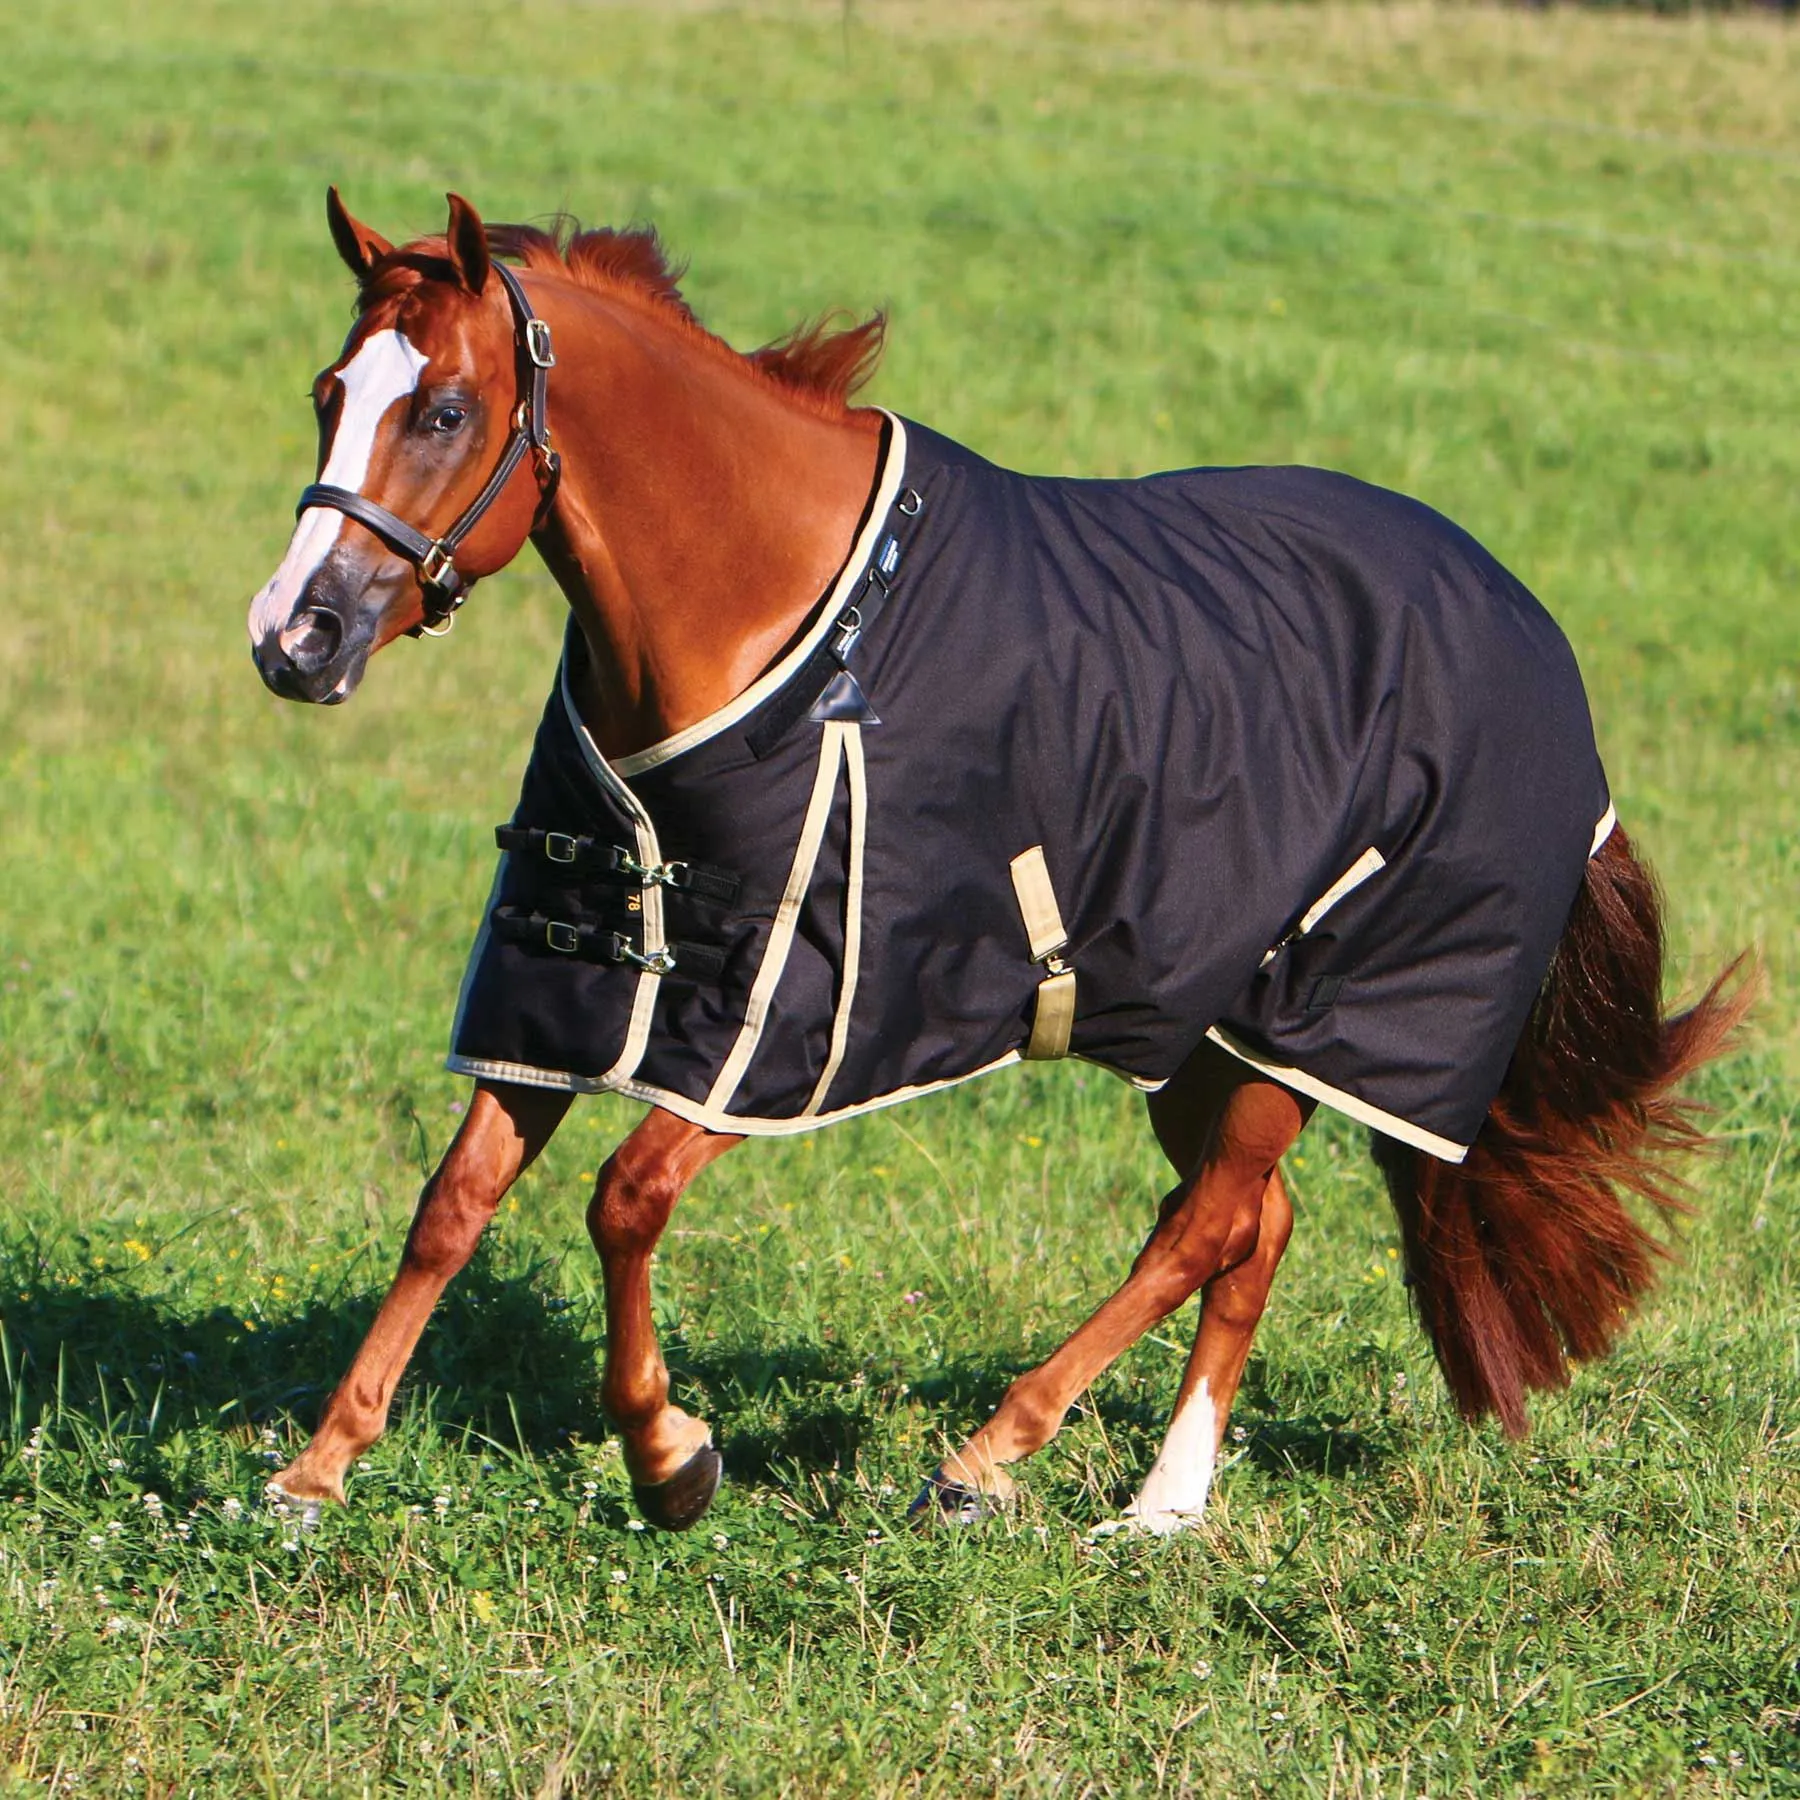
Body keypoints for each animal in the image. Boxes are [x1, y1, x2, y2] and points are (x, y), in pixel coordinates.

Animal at [246, 191, 1748, 1535]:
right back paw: (1165, 1506)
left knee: (1208, 1226)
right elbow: (453, 1205)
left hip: (1313, 1013)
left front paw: (671, 1457)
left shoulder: (801, 1016)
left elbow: (627, 1201)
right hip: (1190, 1028)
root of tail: (1533, 633)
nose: (293, 637)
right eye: (327, 393)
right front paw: (315, 1474)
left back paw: (990, 1458)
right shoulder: (568, 970)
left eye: (444, 411)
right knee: (1250, 1229)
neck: (768, 613)